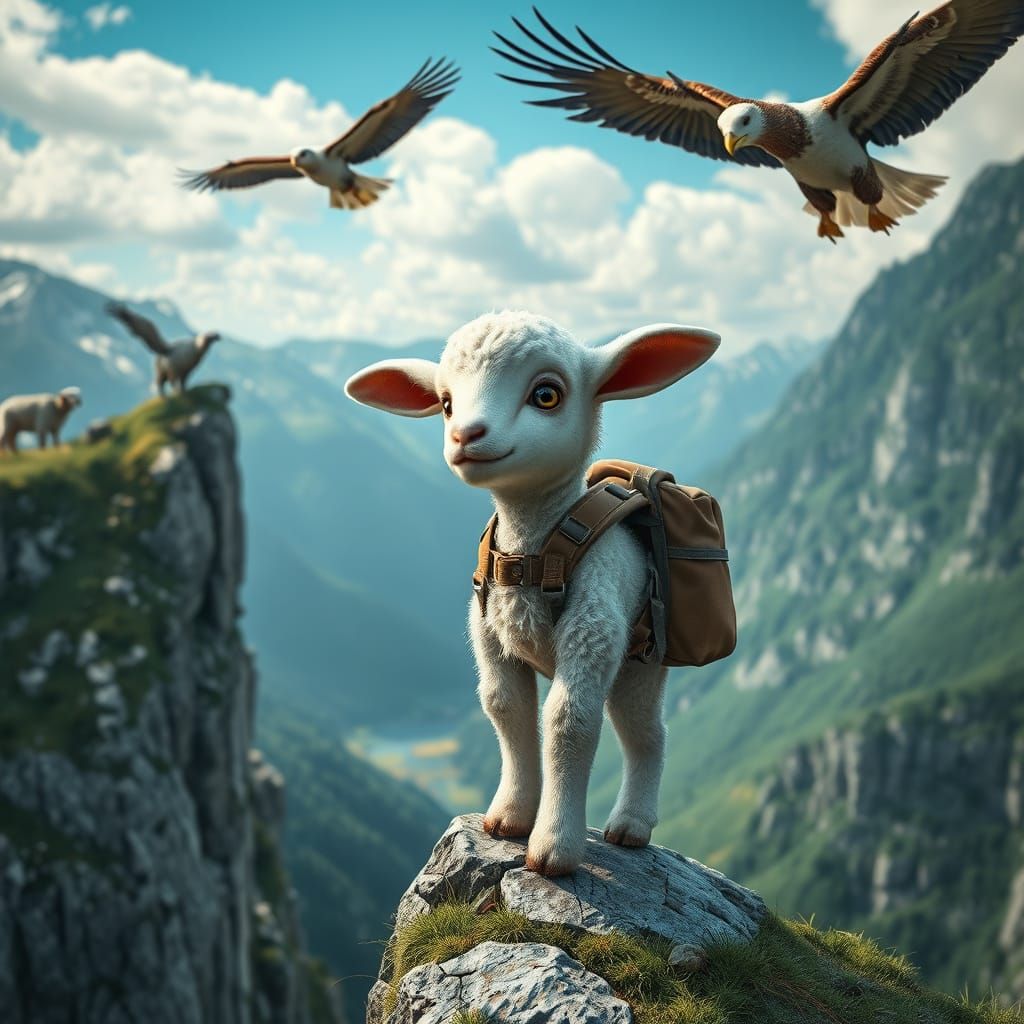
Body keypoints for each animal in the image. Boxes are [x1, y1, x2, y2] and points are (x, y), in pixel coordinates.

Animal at [345, 311, 720, 876]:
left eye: (547, 395)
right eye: (446, 402)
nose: (465, 434)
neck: (531, 551)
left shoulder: (594, 623)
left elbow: (568, 719)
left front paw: (553, 850)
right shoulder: (487, 630)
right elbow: (506, 707)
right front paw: (508, 819)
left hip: (642, 661)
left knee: (646, 733)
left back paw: (631, 827)